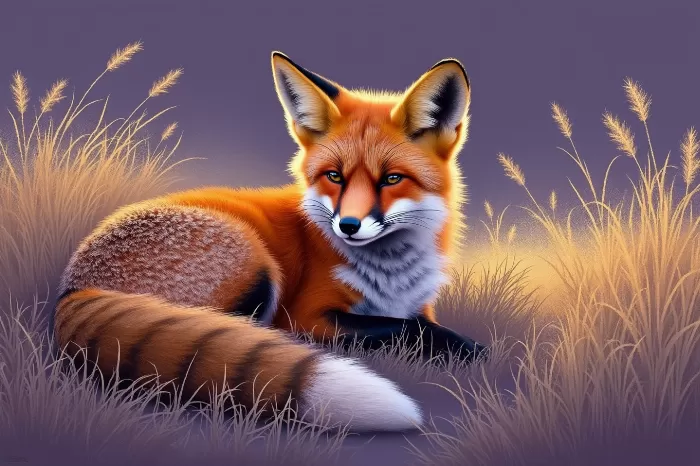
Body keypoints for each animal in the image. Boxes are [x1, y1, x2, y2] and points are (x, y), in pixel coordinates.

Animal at [52, 51, 487, 433]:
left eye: (392, 179)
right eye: (334, 176)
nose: (348, 226)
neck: (392, 275)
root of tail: (74, 287)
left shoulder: (417, 306)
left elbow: (416, 323)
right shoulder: (309, 315)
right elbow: (407, 330)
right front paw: (472, 349)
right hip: (258, 270)